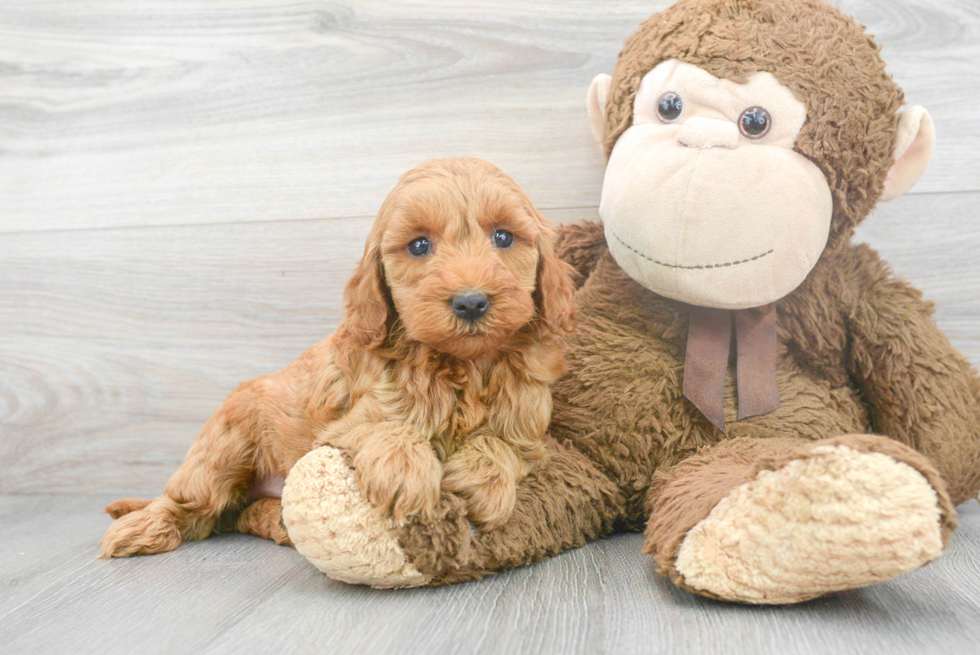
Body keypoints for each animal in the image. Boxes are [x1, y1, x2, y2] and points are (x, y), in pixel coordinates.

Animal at [99, 159, 580, 560]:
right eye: (419, 246)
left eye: (503, 237)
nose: (471, 302)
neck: (466, 365)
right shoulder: (342, 428)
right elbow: (387, 427)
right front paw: (405, 472)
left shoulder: (529, 427)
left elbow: (504, 445)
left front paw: (483, 482)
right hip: (224, 446)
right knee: (191, 504)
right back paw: (141, 528)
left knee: (239, 514)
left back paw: (277, 523)